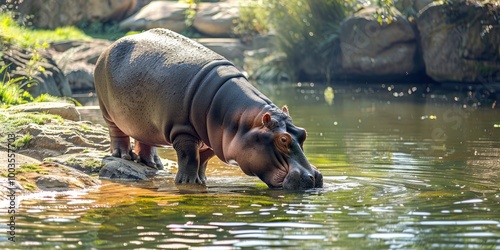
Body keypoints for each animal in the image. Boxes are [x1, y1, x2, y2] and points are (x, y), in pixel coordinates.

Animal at [94, 28, 322, 189]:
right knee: (118, 133)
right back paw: (124, 156)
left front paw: (201, 181)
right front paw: (186, 183)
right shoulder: (183, 132)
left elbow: (202, 161)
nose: (314, 177)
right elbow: (189, 158)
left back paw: (153, 164)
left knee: (144, 138)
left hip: (142, 121)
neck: (241, 122)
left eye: (303, 133)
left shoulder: (214, 140)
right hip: (107, 111)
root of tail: (109, 46)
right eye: (283, 140)